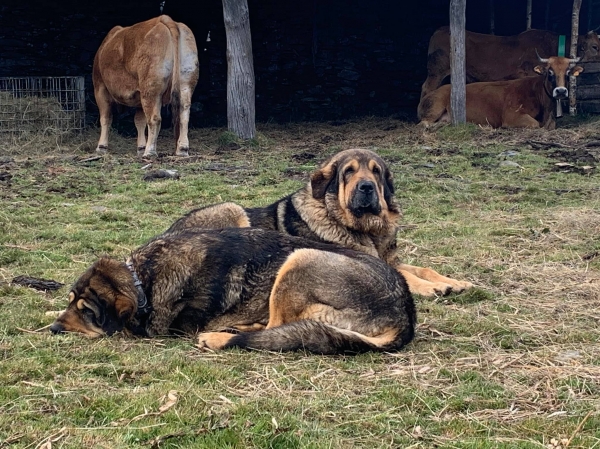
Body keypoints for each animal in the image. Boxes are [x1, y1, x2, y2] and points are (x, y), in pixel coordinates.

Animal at [50, 228, 418, 354]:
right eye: (70, 302)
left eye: (87, 311)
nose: (53, 329)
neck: (144, 279)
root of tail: (405, 315)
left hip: (300, 259)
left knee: (274, 329)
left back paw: (220, 336)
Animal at [92, 15, 198, 158]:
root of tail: (165, 19)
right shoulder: (139, 94)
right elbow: (140, 121)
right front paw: (140, 147)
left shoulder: (100, 87)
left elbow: (106, 118)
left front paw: (101, 147)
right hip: (185, 83)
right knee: (184, 115)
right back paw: (182, 149)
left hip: (150, 89)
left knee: (154, 118)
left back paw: (150, 151)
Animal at [418, 55, 580, 130]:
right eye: (549, 72)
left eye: (567, 73)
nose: (561, 91)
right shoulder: (511, 115)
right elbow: (534, 124)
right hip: (435, 107)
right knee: (423, 123)